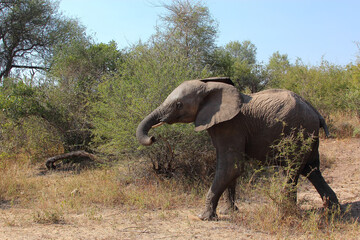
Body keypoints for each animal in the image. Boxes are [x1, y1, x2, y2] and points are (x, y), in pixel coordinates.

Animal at [134, 77, 338, 221]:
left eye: (178, 105)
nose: (153, 137)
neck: (210, 87)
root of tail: (317, 113)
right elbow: (229, 168)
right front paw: (229, 212)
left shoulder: (231, 125)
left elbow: (231, 166)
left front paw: (204, 217)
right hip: (309, 136)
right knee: (311, 170)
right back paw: (333, 211)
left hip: (300, 132)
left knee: (294, 169)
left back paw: (284, 211)